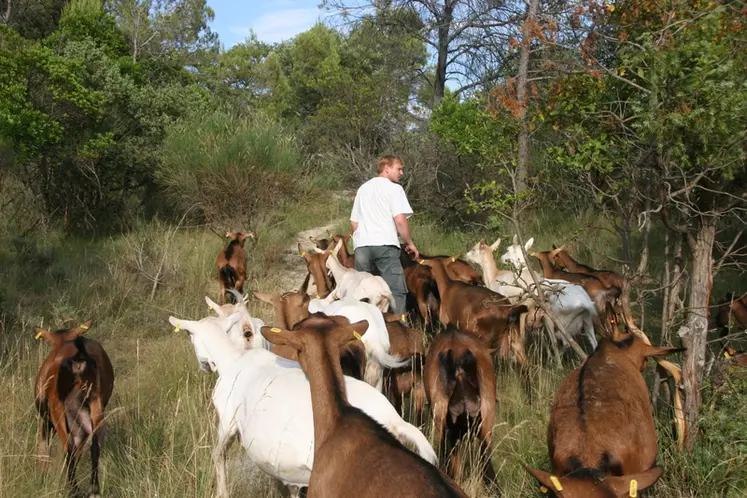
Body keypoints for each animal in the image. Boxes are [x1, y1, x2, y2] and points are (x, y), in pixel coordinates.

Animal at [33, 320, 113, 496]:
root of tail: (78, 358)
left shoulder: (47, 421)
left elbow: (44, 448)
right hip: (95, 407)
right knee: (94, 445)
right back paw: (93, 490)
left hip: (58, 412)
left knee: (68, 448)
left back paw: (74, 490)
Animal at [169, 316, 436, 498]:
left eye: (190, 337)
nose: (205, 365)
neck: (232, 358)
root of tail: (394, 421)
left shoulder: (227, 421)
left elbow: (218, 455)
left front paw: (221, 492)